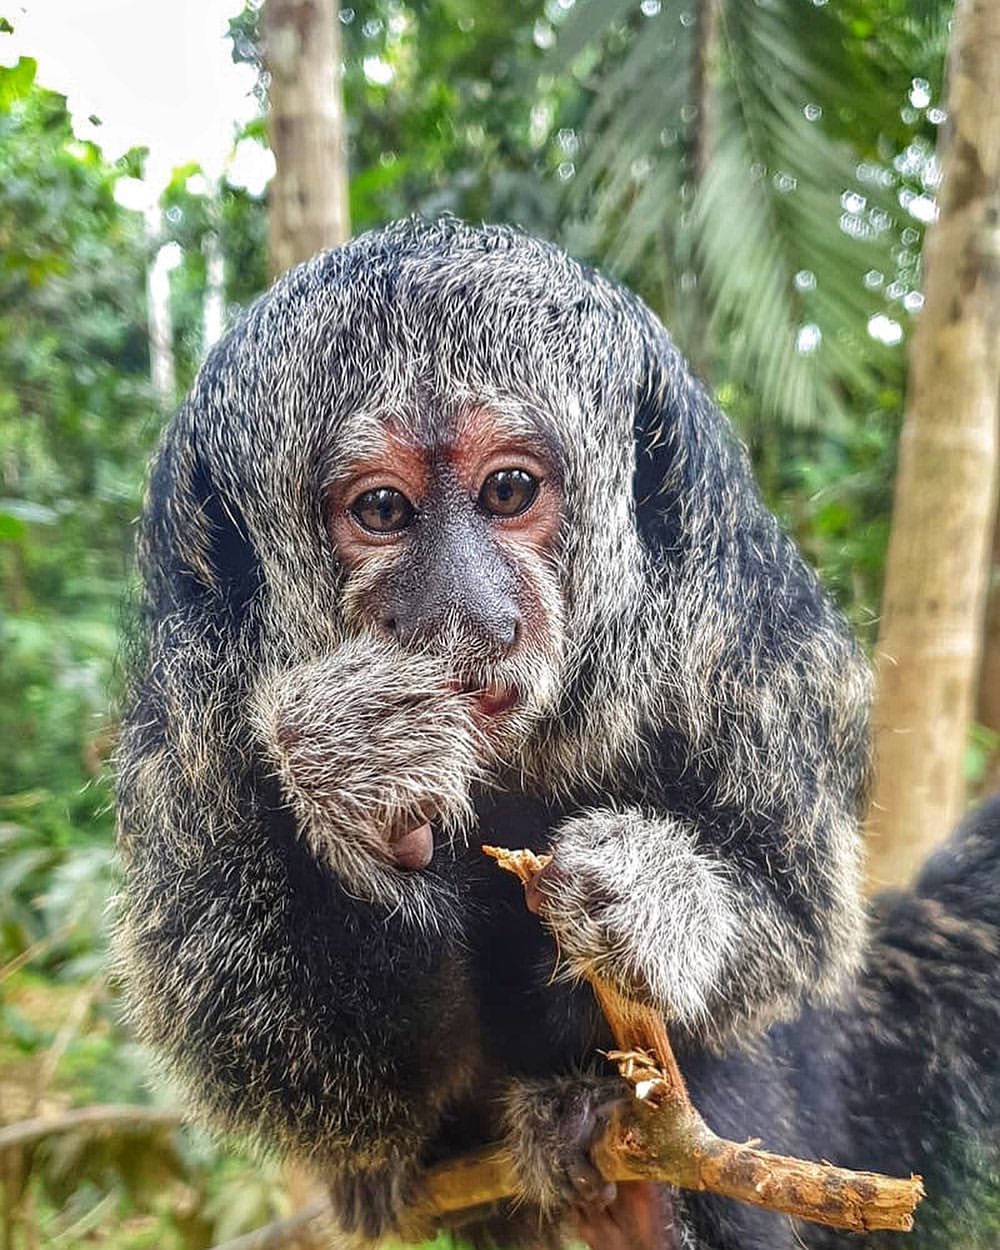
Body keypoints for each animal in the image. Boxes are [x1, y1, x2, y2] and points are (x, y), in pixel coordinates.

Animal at [113, 222, 995, 1250]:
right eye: (382, 510)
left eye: (508, 490)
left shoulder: (750, 645)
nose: (466, 611)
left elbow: (797, 932)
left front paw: (654, 904)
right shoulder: (193, 732)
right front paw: (350, 772)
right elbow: (273, 1058)